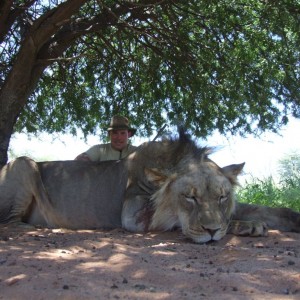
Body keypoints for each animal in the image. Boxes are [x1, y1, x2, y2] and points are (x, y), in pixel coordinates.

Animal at [0, 130, 298, 243]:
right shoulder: (133, 217)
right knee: (8, 221)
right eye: (189, 198)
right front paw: (246, 226)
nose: (212, 232)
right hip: (24, 163)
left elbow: (258, 208)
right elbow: (179, 220)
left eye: (222, 197)